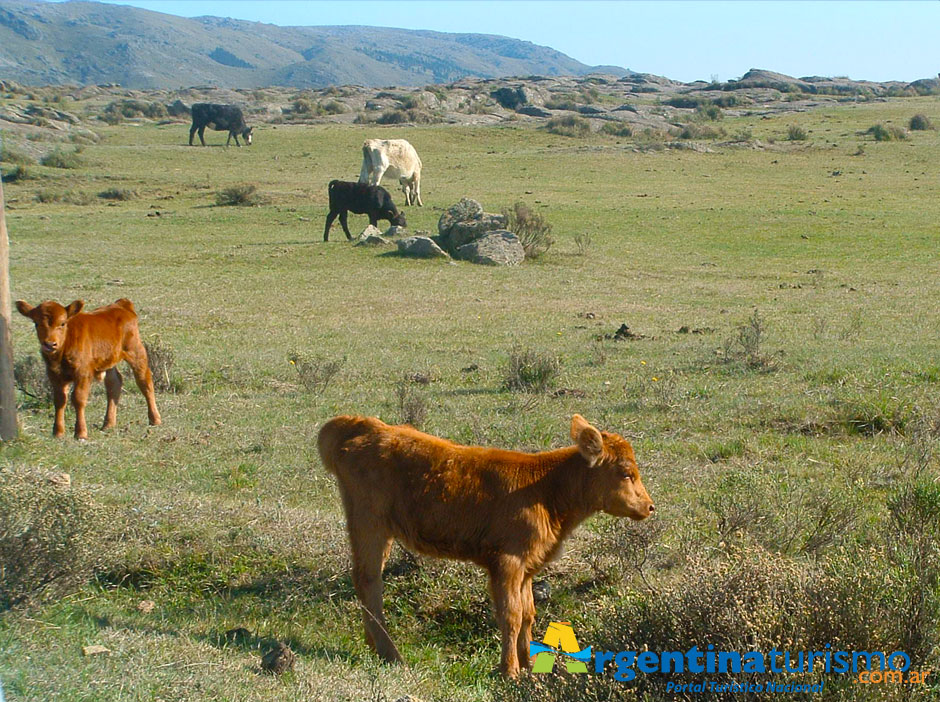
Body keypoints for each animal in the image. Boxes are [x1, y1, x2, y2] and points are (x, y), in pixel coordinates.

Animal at [17, 296, 162, 440]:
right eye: (36, 323)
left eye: (62, 323)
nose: (49, 344)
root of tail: (121, 305)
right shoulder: (54, 375)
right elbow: (59, 400)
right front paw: (58, 432)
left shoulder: (83, 373)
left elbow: (78, 398)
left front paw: (81, 432)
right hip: (109, 359)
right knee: (114, 383)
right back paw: (108, 424)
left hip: (136, 351)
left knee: (144, 381)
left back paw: (155, 419)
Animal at [316, 416, 652, 680]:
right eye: (626, 473)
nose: (649, 506)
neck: (546, 491)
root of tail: (367, 425)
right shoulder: (507, 560)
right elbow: (510, 615)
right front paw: (510, 671)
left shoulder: (528, 566)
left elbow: (528, 613)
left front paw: (530, 665)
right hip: (369, 522)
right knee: (368, 580)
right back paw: (391, 653)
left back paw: (374, 645)